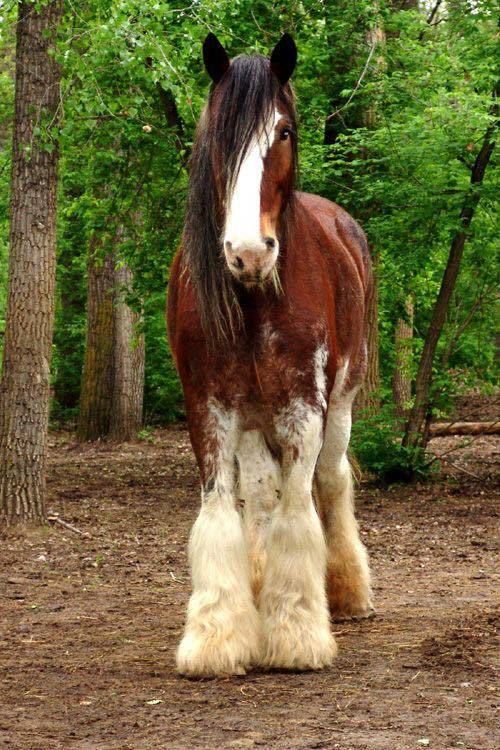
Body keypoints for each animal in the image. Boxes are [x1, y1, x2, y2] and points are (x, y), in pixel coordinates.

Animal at [168, 32, 376, 680]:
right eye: (220, 135)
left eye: (283, 131)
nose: (247, 252)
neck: (255, 295)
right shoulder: (209, 409)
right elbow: (221, 513)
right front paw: (218, 634)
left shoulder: (302, 407)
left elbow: (297, 511)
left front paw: (298, 630)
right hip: (253, 419)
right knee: (259, 497)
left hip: (341, 403)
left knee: (330, 482)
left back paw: (347, 590)